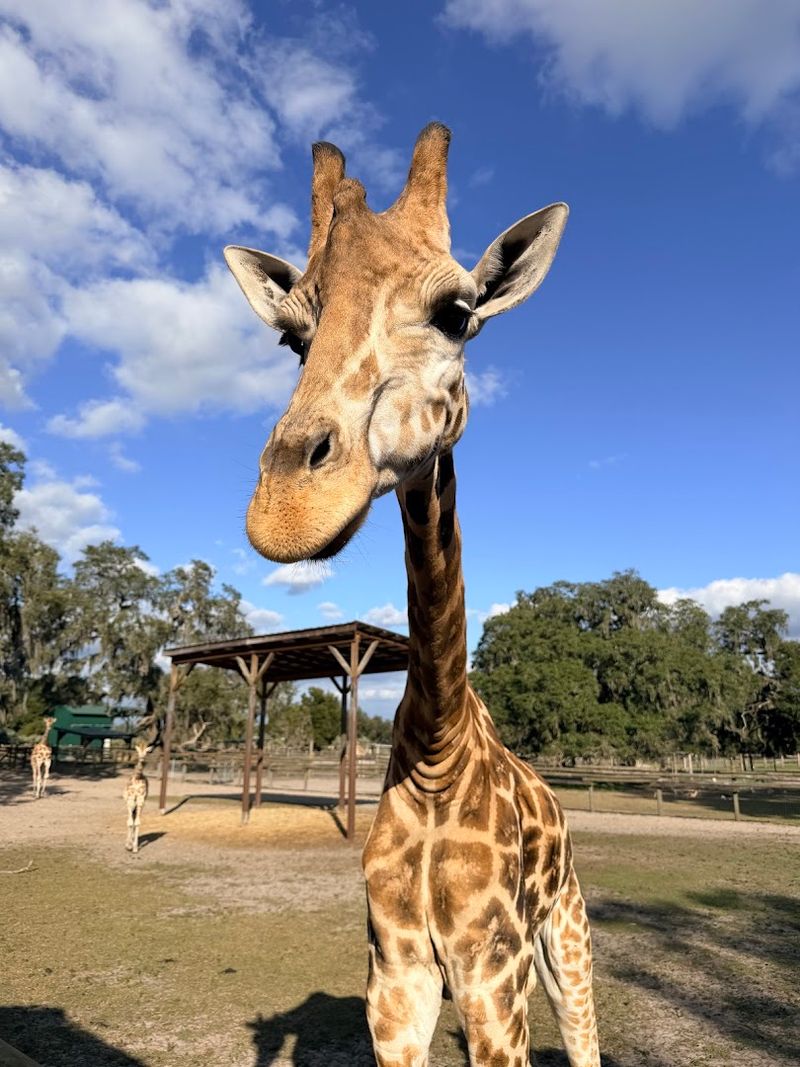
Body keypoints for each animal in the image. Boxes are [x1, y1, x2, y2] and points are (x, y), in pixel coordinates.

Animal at [224, 124, 599, 1066]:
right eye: (293, 339)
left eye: (457, 314)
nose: (288, 510)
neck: (438, 752)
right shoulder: (395, 979)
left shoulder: (493, 974)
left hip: (567, 940)